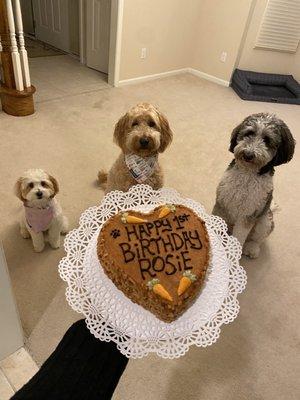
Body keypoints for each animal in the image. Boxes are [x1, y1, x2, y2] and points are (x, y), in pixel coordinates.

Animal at [213, 112, 296, 258]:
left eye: (267, 140)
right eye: (249, 133)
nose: (248, 154)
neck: (247, 173)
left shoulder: (248, 215)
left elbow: (239, 237)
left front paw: (231, 258)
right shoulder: (221, 204)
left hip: (265, 222)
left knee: (256, 239)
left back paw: (251, 249)